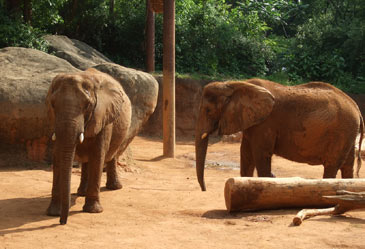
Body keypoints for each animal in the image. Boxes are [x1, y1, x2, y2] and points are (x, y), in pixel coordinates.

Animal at [45, 67, 131, 224]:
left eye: (87, 106)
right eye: (53, 104)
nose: (62, 222)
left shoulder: (103, 116)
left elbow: (98, 156)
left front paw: (93, 211)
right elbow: (58, 156)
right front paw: (53, 213)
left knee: (112, 155)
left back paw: (114, 188)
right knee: (86, 161)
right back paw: (81, 192)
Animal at [196, 79, 364, 191]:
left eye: (208, 111)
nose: (205, 189)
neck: (235, 84)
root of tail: (356, 107)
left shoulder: (265, 124)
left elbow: (261, 155)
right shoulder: (252, 122)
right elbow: (246, 155)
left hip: (341, 132)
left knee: (331, 165)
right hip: (348, 132)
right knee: (347, 166)